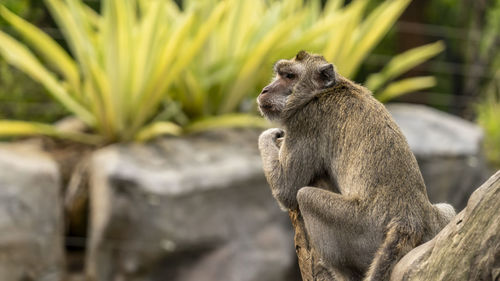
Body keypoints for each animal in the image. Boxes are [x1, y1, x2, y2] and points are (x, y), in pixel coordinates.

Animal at [256, 50, 456, 280]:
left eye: (289, 76)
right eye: (280, 73)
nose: (265, 90)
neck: (326, 91)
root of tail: (408, 221)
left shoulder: (305, 121)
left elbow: (286, 190)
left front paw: (268, 135)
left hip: (363, 230)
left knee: (305, 197)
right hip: (434, 226)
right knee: (448, 209)